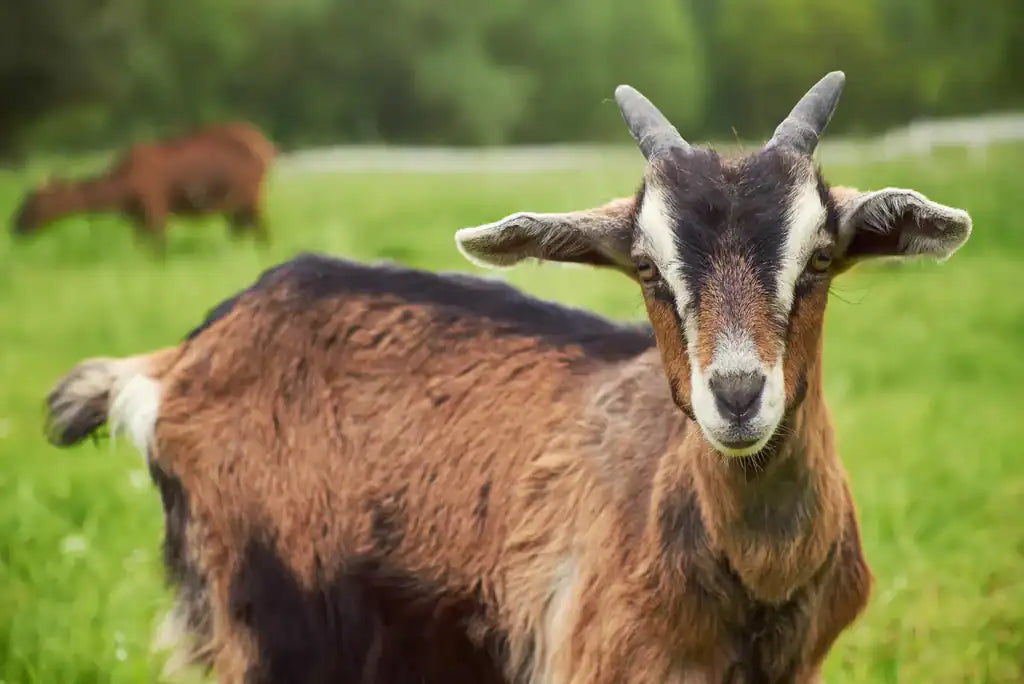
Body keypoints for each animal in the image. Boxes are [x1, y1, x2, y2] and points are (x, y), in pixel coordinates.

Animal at [11, 122, 275, 250]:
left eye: (32, 201)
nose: (15, 225)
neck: (119, 190)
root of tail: (268, 147)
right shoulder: (136, 218)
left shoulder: (155, 208)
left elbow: (159, 248)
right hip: (237, 204)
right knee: (243, 231)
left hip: (253, 195)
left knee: (262, 232)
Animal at [44, 72, 971, 683]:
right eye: (646, 267)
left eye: (819, 258)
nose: (738, 396)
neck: (753, 579)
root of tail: (180, 359)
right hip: (270, 622)